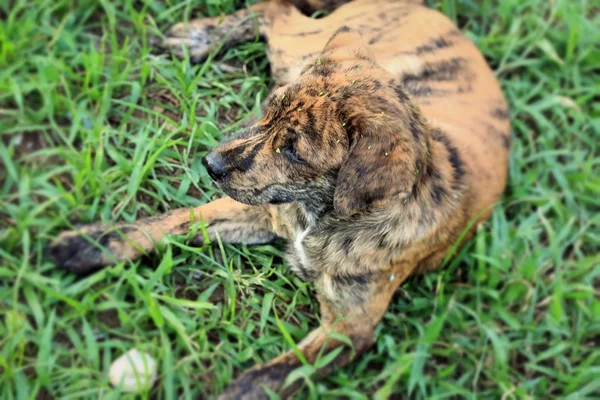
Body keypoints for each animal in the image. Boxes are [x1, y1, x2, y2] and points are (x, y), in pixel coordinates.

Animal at [49, 1, 510, 398]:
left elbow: (278, 374)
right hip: (302, 46)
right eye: (267, 110)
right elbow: (178, 219)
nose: (210, 164)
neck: (320, 217)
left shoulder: (351, 326)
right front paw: (89, 244)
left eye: (292, 150)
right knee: (274, 11)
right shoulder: (262, 210)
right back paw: (198, 38)